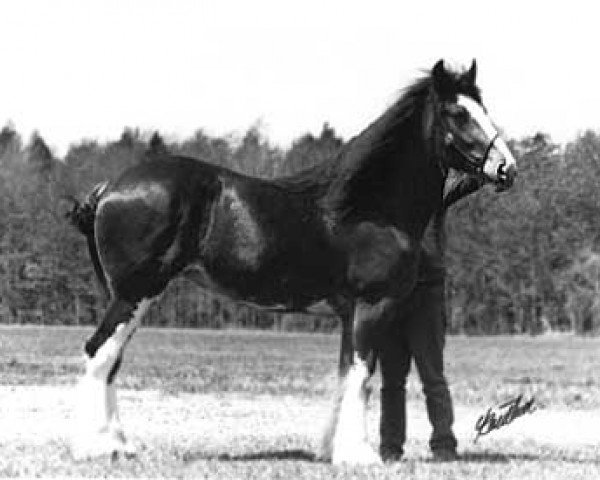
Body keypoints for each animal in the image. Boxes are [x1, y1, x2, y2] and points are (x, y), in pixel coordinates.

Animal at [65, 58, 516, 464]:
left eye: (483, 108)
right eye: (459, 113)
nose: (506, 169)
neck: (368, 208)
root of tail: (109, 188)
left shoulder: (349, 313)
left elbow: (345, 374)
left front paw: (331, 450)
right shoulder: (372, 305)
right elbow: (362, 374)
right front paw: (358, 454)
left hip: (132, 297)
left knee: (110, 359)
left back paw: (119, 445)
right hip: (136, 293)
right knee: (99, 352)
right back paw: (100, 447)